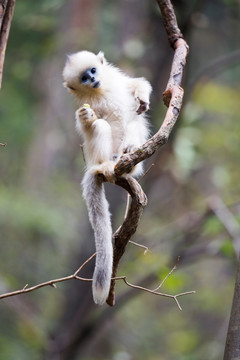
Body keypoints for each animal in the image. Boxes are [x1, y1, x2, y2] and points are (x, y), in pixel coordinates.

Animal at [62, 50, 152, 304]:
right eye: (84, 78)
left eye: (93, 71)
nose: (93, 79)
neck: (100, 91)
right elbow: (88, 124)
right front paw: (86, 115)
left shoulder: (117, 79)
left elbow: (136, 84)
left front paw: (142, 97)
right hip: (96, 157)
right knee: (101, 126)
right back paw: (108, 167)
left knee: (134, 123)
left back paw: (129, 156)